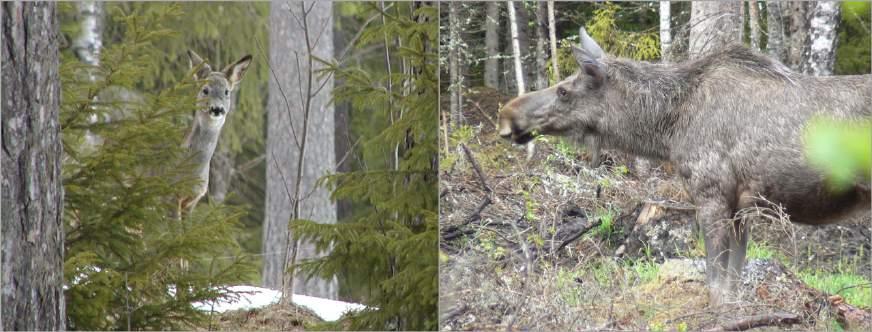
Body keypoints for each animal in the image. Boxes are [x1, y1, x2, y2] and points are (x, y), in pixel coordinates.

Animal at [498, 29, 872, 306]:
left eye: (564, 91)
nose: (507, 113)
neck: (668, 129)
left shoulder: (711, 194)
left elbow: (716, 286)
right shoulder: (741, 208)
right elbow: (733, 285)